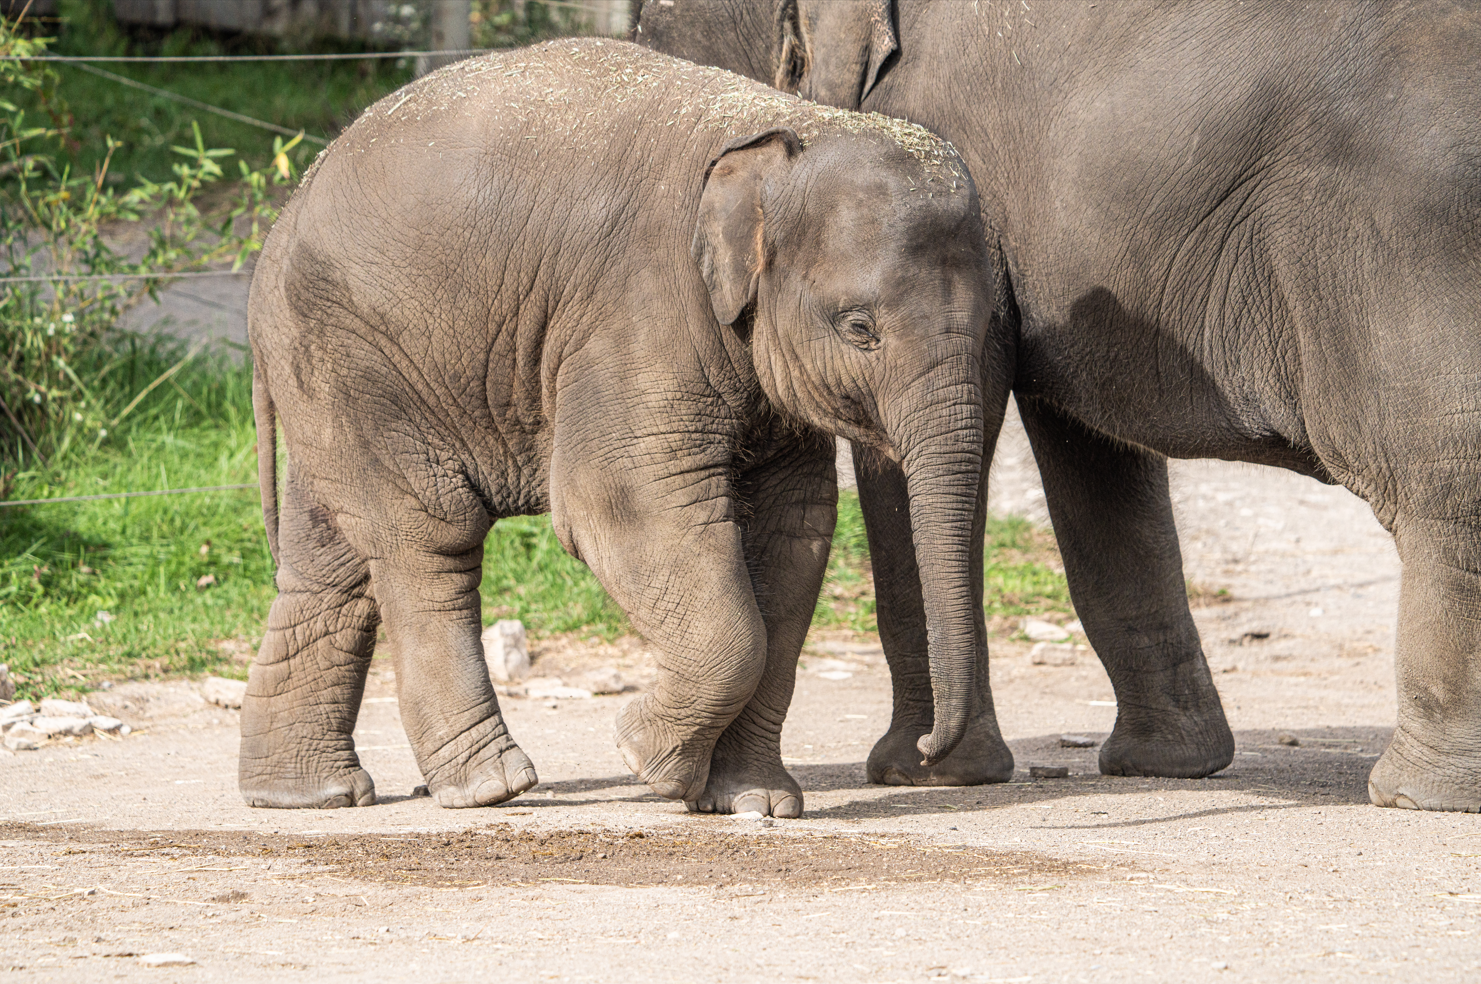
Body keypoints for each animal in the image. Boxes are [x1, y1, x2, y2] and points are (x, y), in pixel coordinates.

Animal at [242, 39, 1007, 816]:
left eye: (987, 328)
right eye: (858, 328)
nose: (926, 751)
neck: (785, 129)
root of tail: (283, 219)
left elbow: (795, 528)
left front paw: (752, 801)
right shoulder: (639, 307)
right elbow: (622, 503)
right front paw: (649, 762)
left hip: (333, 377)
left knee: (333, 561)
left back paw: (308, 795)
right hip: (358, 354)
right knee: (429, 535)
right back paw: (489, 787)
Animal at [635, 0, 1481, 812]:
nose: (928, 753)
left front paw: (926, 773)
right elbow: (1090, 458)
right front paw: (1163, 766)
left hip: (1403, 249)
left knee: (1442, 481)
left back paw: (1416, 795)